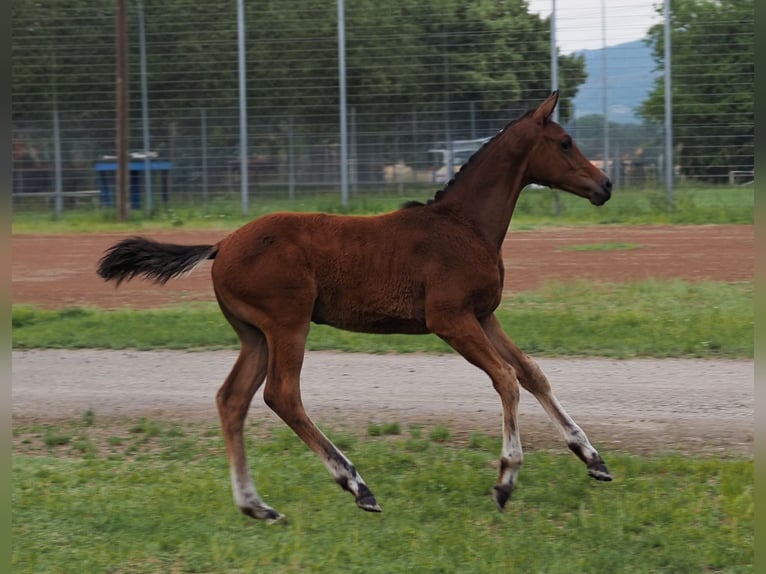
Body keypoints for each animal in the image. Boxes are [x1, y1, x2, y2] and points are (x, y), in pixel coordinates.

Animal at [97, 91, 613, 522]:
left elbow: (531, 373)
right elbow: (506, 378)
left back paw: (256, 506)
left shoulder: (483, 314)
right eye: (565, 142)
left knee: (232, 399)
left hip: (255, 333)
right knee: (281, 395)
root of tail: (221, 245)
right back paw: (356, 485)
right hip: (287, 323)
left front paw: (593, 458)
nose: (605, 184)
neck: (464, 225)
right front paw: (506, 480)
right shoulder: (449, 318)